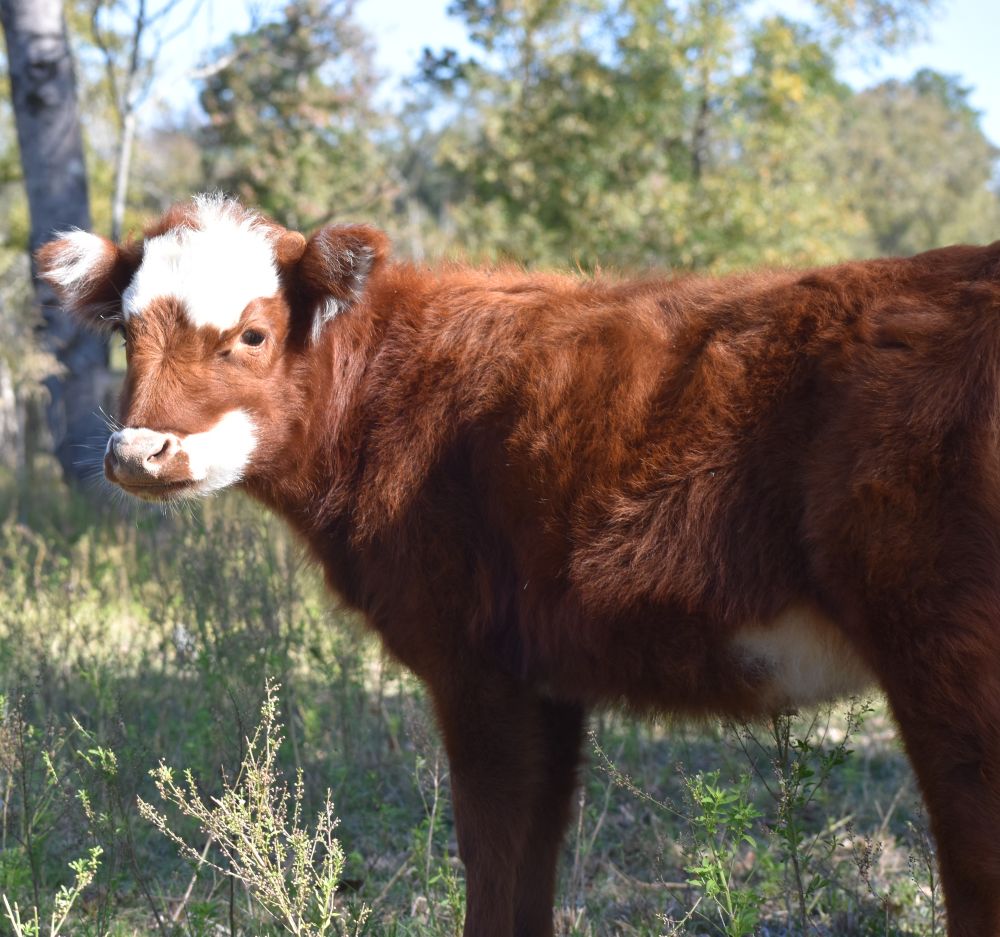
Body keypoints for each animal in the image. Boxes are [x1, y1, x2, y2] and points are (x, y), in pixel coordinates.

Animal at [36, 194, 1000, 937]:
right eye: (124, 329)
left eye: (252, 334)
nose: (139, 452)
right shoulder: (548, 671)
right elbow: (533, 852)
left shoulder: (476, 663)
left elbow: (493, 847)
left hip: (949, 655)